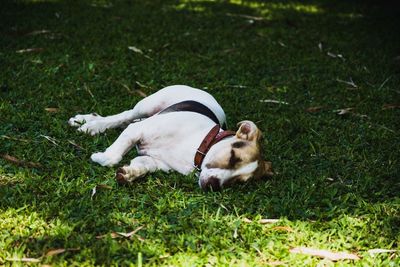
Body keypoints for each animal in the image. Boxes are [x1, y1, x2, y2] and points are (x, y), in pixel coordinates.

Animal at [70, 85, 274, 191]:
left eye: (239, 182)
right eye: (233, 157)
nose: (213, 185)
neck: (198, 148)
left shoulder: (153, 161)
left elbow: (141, 165)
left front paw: (129, 173)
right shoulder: (138, 130)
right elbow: (114, 156)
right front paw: (103, 157)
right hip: (147, 105)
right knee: (123, 116)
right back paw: (91, 124)